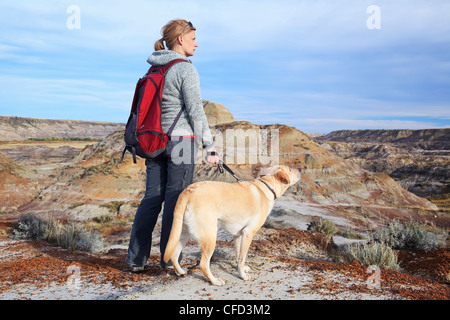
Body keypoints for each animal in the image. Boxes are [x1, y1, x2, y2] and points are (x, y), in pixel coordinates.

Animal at [163, 165, 300, 284]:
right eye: (289, 169)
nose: (299, 169)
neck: (267, 186)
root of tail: (188, 191)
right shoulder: (248, 234)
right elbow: (242, 258)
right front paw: (242, 275)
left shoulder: (238, 235)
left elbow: (239, 256)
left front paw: (241, 269)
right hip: (210, 238)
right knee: (203, 264)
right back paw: (214, 281)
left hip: (183, 234)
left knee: (174, 255)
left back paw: (180, 271)